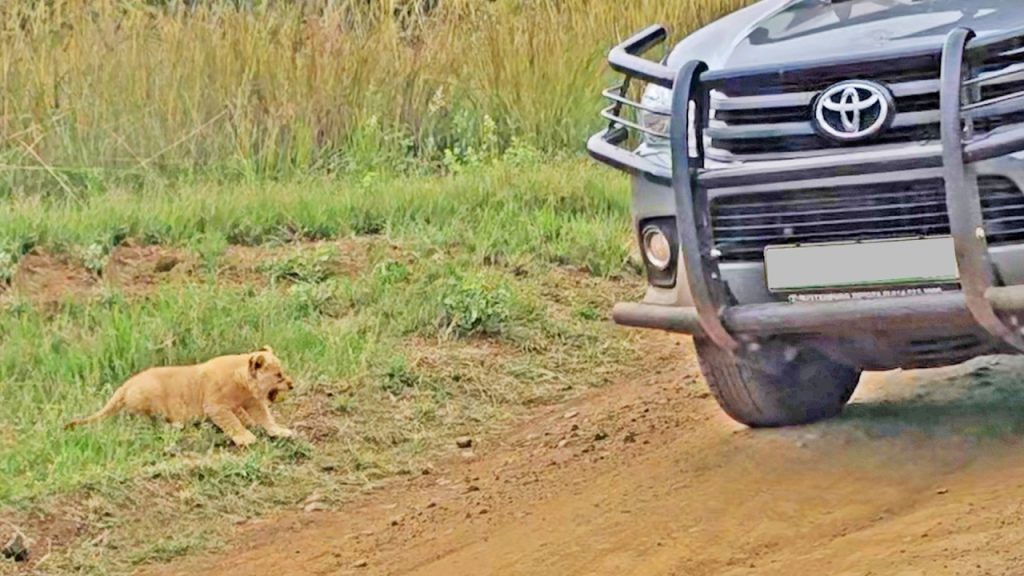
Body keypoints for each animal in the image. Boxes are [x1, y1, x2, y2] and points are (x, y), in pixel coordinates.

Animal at [65, 347, 295, 447]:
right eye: (278, 375)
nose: (292, 384)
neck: (242, 383)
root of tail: (124, 386)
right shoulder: (215, 405)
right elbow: (231, 422)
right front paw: (246, 438)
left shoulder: (253, 403)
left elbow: (266, 419)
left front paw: (281, 431)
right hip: (150, 395)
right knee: (147, 422)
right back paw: (175, 425)